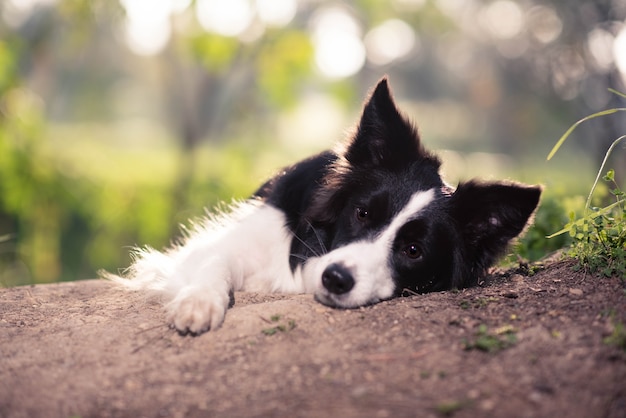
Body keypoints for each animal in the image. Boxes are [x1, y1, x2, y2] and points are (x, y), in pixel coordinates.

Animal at [105, 76, 540, 334]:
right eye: (362, 213)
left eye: (414, 250)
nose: (336, 279)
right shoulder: (234, 242)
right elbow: (214, 264)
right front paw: (198, 302)